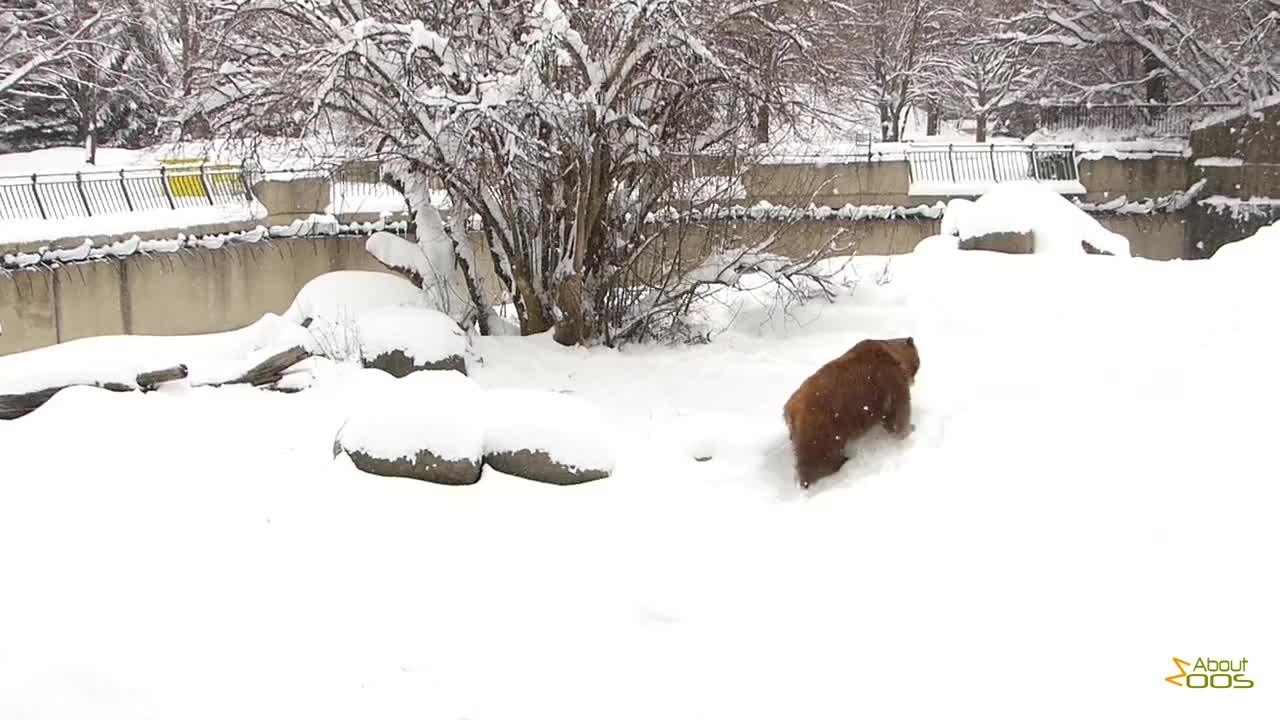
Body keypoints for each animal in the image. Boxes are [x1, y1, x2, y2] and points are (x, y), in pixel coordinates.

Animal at [778, 335, 921, 486]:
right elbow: (899, 416)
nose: (914, 380)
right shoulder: (892, 383)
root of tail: (790, 411)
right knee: (821, 460)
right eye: (918, 360)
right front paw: (910, 429)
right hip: (822, 429)